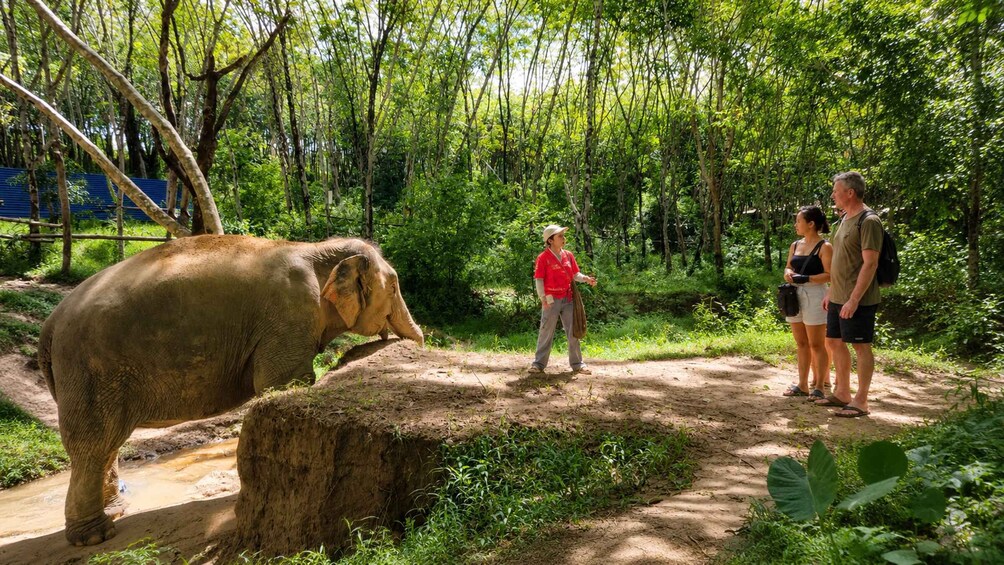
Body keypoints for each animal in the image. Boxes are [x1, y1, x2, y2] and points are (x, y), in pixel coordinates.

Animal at [37, 235, 423, 546]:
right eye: (393, 288)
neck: (316, 248)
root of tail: (49, 324)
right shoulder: (289, 316)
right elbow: (281, 382)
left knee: (106, 445)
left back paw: (117, 509)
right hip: (89, 368)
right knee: (94, 444)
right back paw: (95, 536)